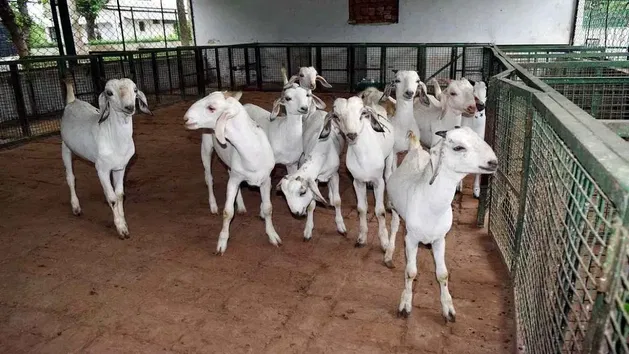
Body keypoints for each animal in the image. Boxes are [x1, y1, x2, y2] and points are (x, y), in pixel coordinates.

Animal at [59, 77, 152, 238]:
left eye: (135, 90)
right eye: (109, 93)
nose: (129, 107)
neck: (114, 139)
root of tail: (72, 101)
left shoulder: (120, 167)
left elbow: (120, 194)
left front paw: (123, 221)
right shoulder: (102, 169)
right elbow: (112, 198)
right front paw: (121, 229)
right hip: (65, 147)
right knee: (70, 177)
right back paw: (76, 207)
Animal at [182, 90, 280, 253]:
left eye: (211, 108)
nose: (186, 119)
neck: (251, 152)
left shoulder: (266, 180)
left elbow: (268, 208)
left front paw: (273, 236)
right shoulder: (234, 180)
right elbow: (227, 212)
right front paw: (222, 242)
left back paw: (240, 205)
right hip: (206, 147)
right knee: (209, 178)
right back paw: (213, 205)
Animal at [276, 108, 346, 241]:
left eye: (302, 192)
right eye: (284, 194)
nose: (296, 213)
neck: (321, 153)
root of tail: (319, 111)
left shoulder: (335, 175)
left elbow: (338, 201)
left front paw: (340, 225)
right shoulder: (315, 179)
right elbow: (311, 205)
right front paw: (308, 229)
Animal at [324, 95, 392, 248]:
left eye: (362, 113)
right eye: (336, 116)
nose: (352, 135)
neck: (363, 157)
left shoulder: (379, 181)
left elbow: (380, 212)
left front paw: (385, 242)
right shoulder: (357, 181)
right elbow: (361, 209)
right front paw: (362, 237)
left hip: (391, 156)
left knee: (389, 174)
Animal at [386, 128, 498, 320]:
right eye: (458, 147)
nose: (493, 162)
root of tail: (415, 148)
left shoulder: (440, 239)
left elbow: (443, 274)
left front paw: (448, 309)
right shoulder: (411, 239)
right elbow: (410, 272)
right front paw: (405, 305)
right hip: (394, 207)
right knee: (394, 226)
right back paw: (389, 254)